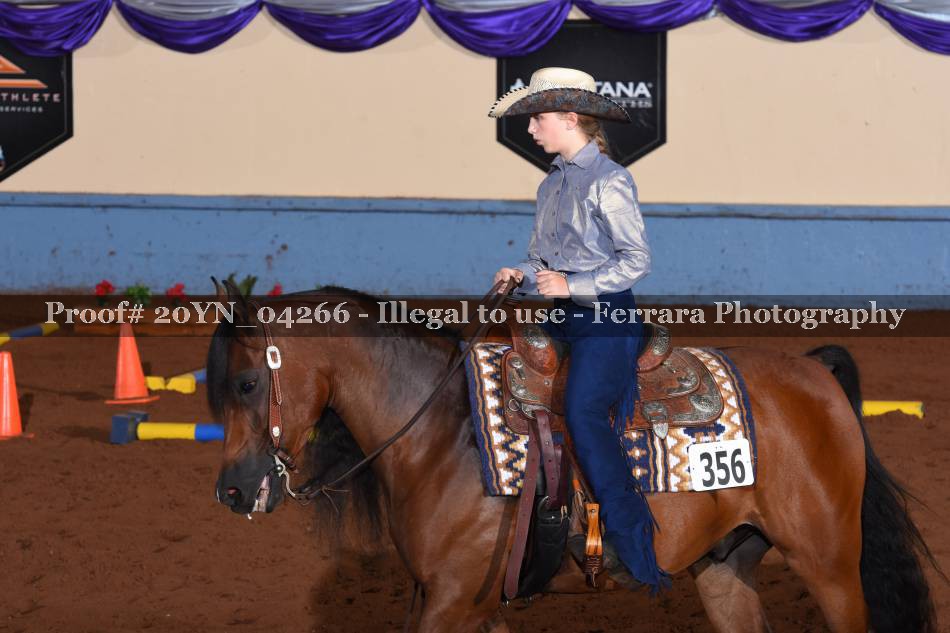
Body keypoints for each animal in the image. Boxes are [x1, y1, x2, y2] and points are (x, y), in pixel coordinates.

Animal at [207, 283, 941, 633]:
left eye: (246, 383)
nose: (233, 492)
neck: (443, 436)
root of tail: (815, 372)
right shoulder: (469, 603)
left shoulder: (451, 603)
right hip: (726, 566)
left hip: (832, 566)